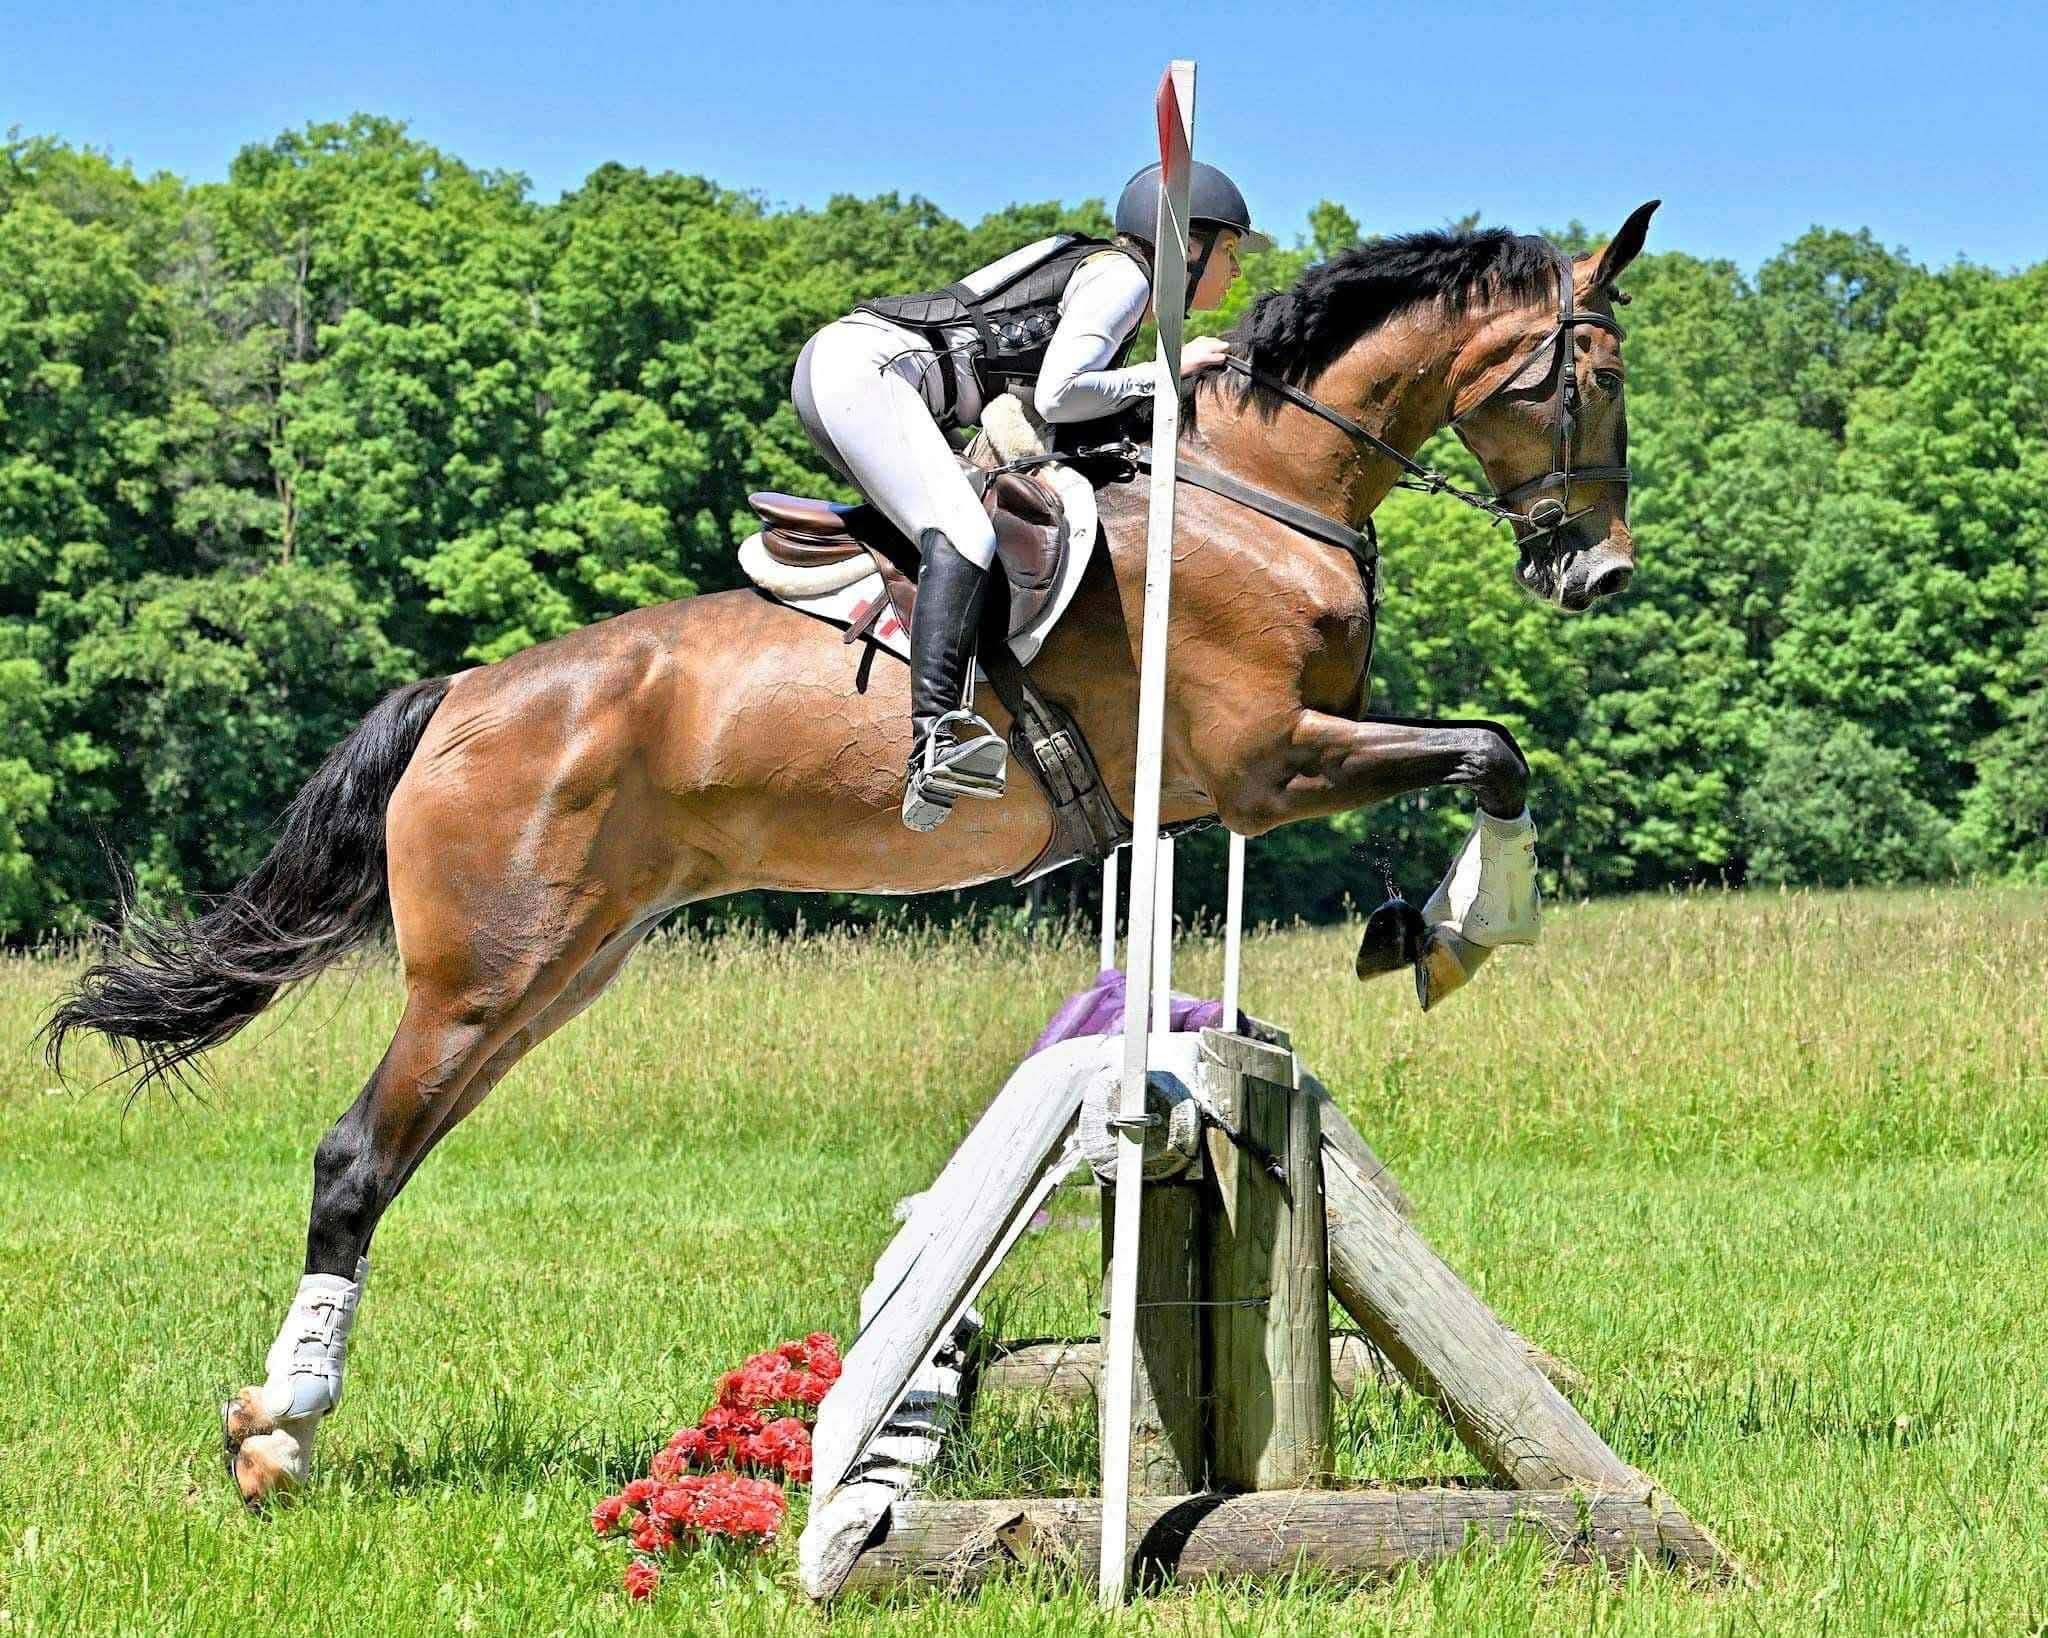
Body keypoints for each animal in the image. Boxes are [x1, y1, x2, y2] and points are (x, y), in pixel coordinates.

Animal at [46, 205, 1659, 1505]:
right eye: (1596, 373)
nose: (1598, 572)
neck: (1258, 490)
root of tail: (460, 695)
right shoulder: (1271, 760)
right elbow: (1492, 747)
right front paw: (1461, 926)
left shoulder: (1246, 782)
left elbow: (1473, 752)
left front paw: (1416, 927)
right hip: (480, 975)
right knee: (354, 1158)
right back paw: (281, 1431)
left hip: (560, 970)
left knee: (395, 1147)